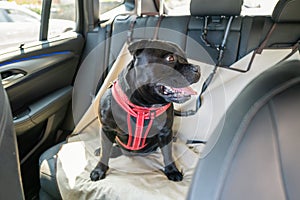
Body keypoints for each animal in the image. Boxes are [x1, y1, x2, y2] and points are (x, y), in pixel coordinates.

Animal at [90, 39, 200, 182]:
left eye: (185, 59)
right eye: (170, 58)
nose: (197, 68)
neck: (142, 107)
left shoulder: (165, 132)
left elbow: (168, 153)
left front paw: (172, 170)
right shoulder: (107, 128)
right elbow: (104, 152)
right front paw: (99, 170)